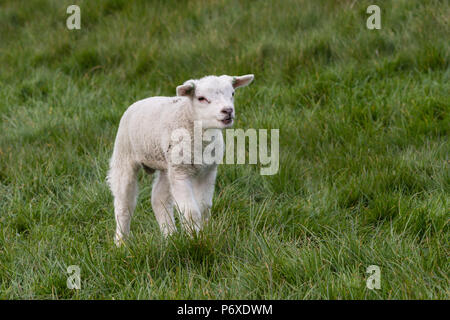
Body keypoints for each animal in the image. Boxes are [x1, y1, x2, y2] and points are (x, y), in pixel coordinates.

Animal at [105, 74, 253, 245]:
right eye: (201, 98)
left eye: (232, 94)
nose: (228, 111)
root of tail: (141, 100)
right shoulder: (181, 172)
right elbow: (191, 211)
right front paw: (195, 239)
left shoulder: (208, 171)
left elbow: (204, 207)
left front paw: (203, 234)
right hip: (124, 155)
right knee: (124, 204)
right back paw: (121, 242)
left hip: (167, 166)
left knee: (159, 198)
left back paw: (170, 236)